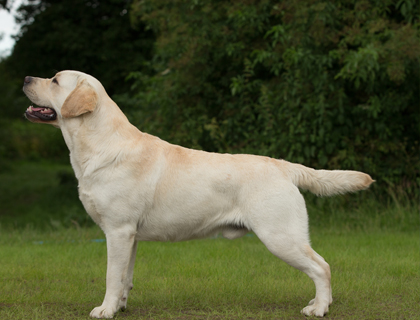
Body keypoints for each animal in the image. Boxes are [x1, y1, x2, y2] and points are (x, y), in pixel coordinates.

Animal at [22, 70, 374, 318]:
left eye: (55, 80)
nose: (25, 78)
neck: (98, 144)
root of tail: (283, 166)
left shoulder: (117, 231)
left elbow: (111, 276)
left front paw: (105, 310)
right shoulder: (129, 235)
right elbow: (125, 277)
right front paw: (120, 306)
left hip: (280, 235)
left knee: (321, 267)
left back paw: (319, 308)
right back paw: (320, 301)